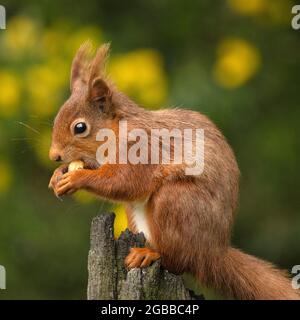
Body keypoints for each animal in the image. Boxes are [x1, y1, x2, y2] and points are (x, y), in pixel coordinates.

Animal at [48, 43, 298, 300]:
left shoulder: (143, 148)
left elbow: (125, 182)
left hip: (177, 202)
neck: (118, 130)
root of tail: (213, 252)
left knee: (178, 261)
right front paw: (58, 176)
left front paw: (76, 177)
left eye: (80, 127)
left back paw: (150, 254)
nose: (53, 155)